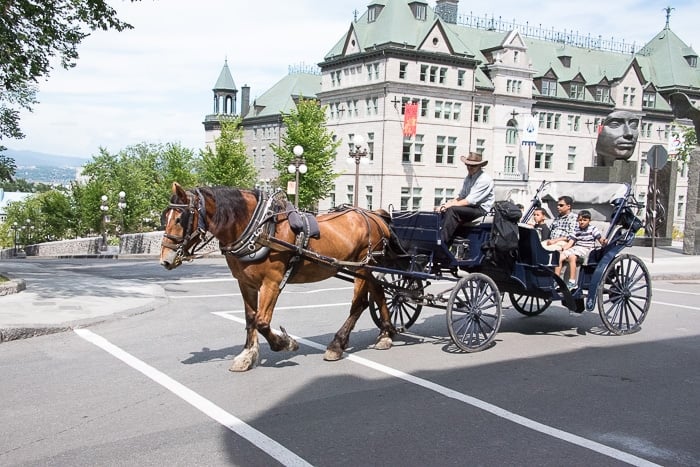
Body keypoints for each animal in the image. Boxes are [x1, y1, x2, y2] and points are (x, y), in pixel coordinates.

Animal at [160, 183, 400, 372]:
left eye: (180, 219)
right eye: (165, 217)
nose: (165, 259)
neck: (259, 229)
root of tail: (375, 215)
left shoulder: (272, 282)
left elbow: (262, 321)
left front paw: (285, 343)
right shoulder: (245, 283)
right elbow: (250, 319)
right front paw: (247, 355)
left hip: (362, 266)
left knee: (359, 304)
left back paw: (337, 345)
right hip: (368, 269)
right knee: (380, 294)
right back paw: (386, 334)